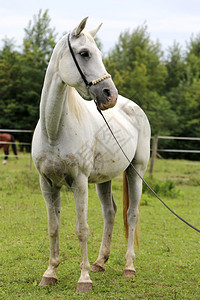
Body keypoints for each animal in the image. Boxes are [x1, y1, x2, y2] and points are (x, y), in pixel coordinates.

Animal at [31, 17, 150, 292]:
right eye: (84, 53)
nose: (109, 94)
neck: (54, 130)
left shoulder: (80, 182)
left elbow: (82, 229)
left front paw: (84, 279)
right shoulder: (47, 183)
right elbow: (53, 228)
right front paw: (50, 273)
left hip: (135, 172)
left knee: (132, 215)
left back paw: (129, 267)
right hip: (104, 179)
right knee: (111, 212)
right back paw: (99, 262)